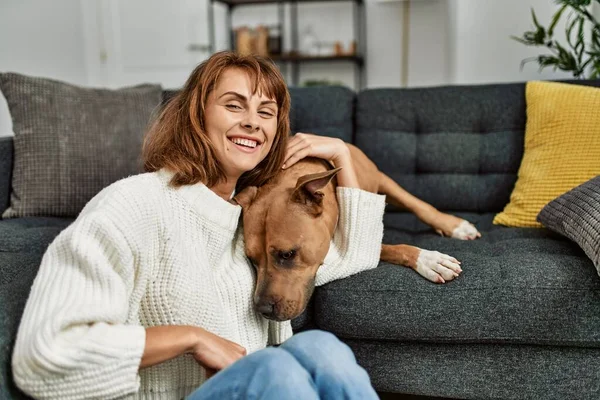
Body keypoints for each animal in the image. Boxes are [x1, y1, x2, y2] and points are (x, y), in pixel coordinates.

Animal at [232, 142, 480, 320]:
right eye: (251, 259)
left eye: (287, 254)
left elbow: (418, 204)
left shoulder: (381, 179)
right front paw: (429, 259)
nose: (262, 309)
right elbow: (388, 248)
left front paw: (452, 227)